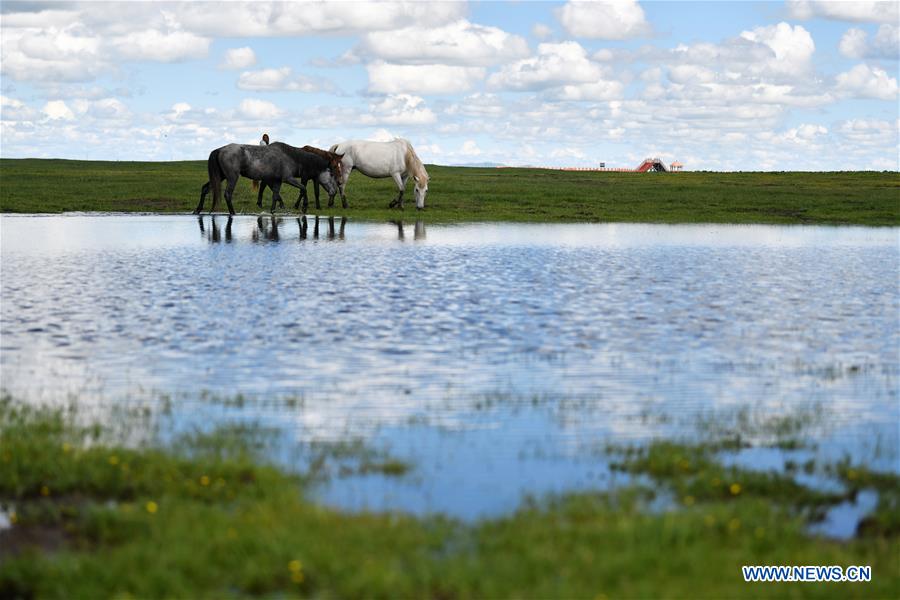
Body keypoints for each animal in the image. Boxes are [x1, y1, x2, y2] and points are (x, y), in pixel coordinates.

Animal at [194, 143, 339, 215]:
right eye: (331, 174)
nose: (335, 191)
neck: (292, 157)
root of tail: (220, 149)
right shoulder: (288, 179)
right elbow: (303, 188)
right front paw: (304, 206)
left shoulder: (277, 181)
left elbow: (275, 195)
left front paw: (273, 211)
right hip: (231, 177)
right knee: (227, 194)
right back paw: (233, 212)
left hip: (219, 177)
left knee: (205, 189)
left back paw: (198, 210)